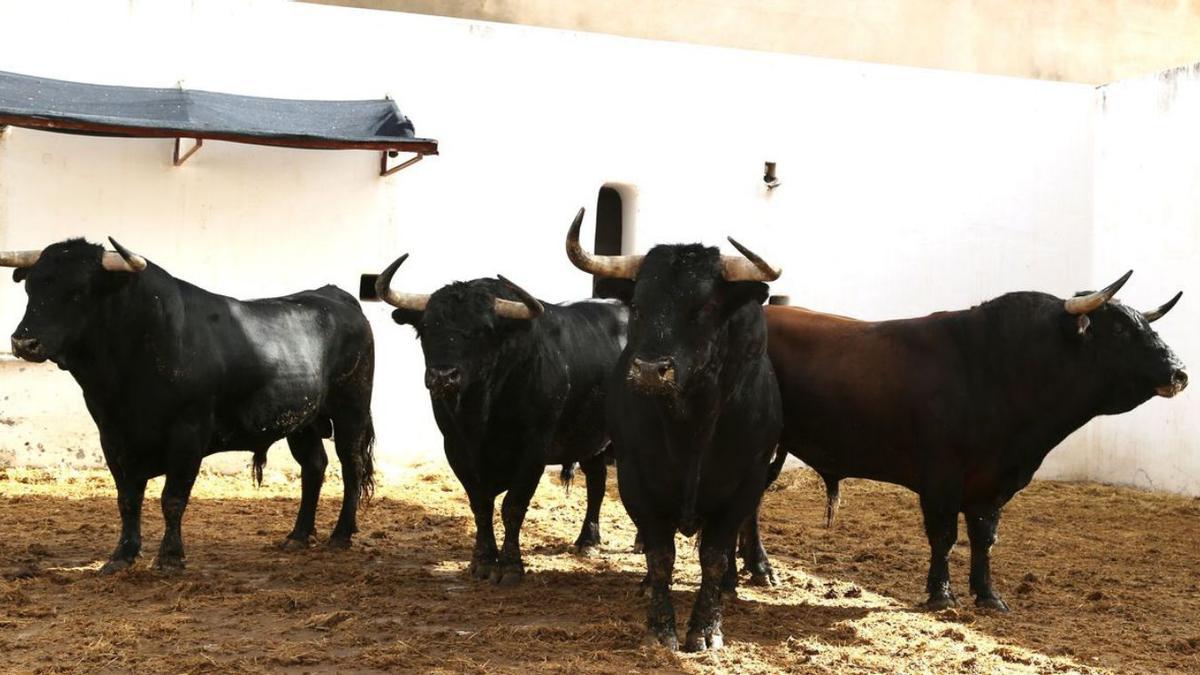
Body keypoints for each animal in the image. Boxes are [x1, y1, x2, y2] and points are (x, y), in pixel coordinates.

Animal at [4, 239, 372, 569]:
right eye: (31, 288)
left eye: (78, 291)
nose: (23, 341)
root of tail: (335, 295)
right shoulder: (113, 436)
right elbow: (128, 498)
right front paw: (122, 555)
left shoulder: (188, 433)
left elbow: (173, 498)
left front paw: (169, 557)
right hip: (303, 422)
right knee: (314, 466)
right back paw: (298, 535)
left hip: (351, 410)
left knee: (351, 466)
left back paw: (341, 535)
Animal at [376, 252, 628, 583]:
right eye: (427, 327)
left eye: (482, 329)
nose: (443, 376)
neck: (481, 414)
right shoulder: (455, 449)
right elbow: (480, 505)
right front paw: (482, 561)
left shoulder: (533, 451)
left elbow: (513, 506)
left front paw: (509, 567)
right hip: (590, 438)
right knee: (597, 480)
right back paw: (587, 540)